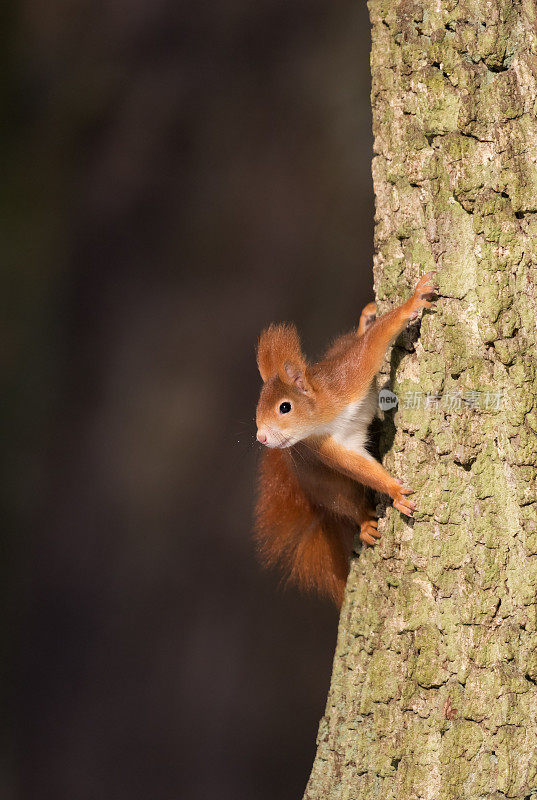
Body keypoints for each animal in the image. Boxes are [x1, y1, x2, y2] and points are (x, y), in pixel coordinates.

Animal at [253, 274, 438, 608]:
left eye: (285, 407)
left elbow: (373, 343)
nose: (261, 436)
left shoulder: (348, 376)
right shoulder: (327, 447)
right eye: (257, 410)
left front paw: (411, 302)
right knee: (348, 502)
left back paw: (366, 319)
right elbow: (359, 467)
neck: (326, 414)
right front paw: (394, 491)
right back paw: (365, 524)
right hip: (330, 489)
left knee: (354, 339)